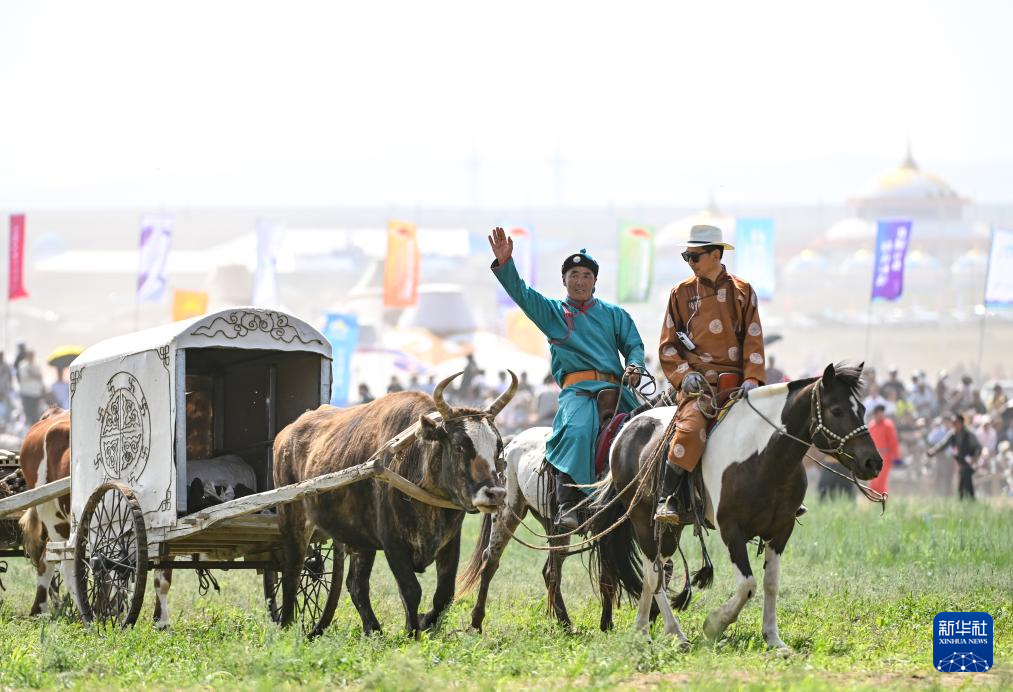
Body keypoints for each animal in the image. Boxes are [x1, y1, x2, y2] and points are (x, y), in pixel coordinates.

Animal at [595, 362, 883, 648]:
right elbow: (747, 585)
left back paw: (653, 630)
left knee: (656, 573)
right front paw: (714, 624)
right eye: (836, 410)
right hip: (642, 519)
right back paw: (662, 631)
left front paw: (773, 638)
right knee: (653, 573)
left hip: (669, 528)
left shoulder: (782, 529)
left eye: (862, 409)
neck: (763, 457)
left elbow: (770, 583)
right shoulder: (731, 529)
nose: (873, 462)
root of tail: (626, 429)